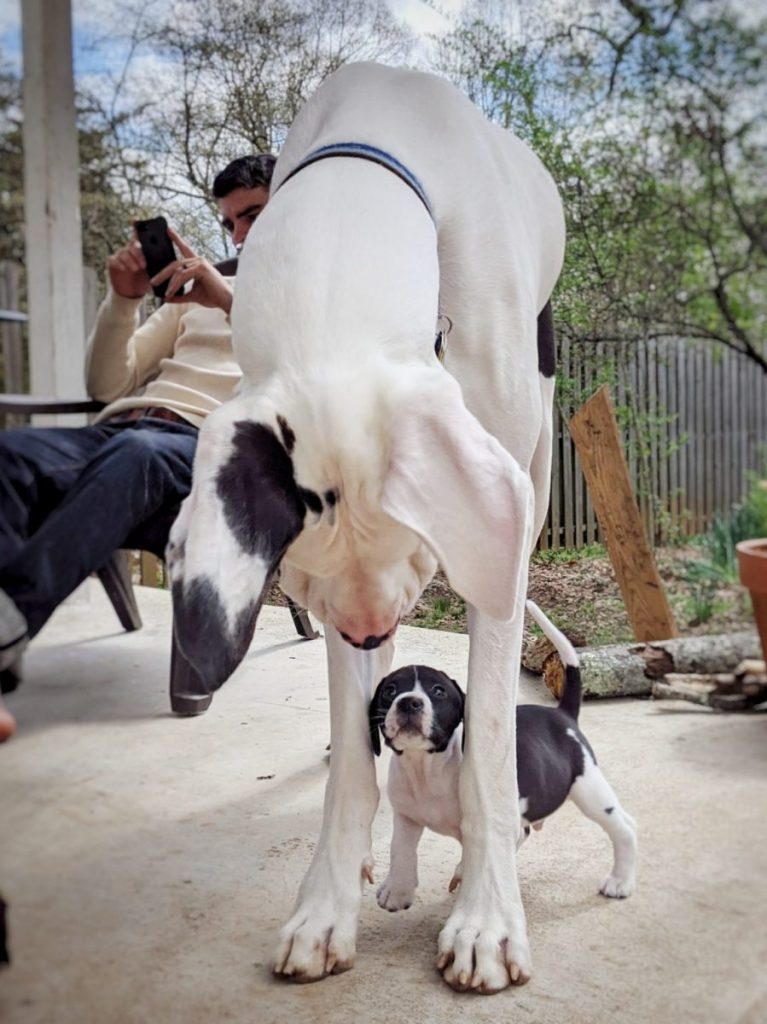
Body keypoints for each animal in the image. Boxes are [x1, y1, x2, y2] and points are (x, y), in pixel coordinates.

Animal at [368, 598, 638, 913]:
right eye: (390, 690)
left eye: (438, 691)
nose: (409, 702)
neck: (426, 766)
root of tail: (562, 714)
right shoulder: (406, 816)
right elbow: (400, 849)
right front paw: (397, 890)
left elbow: (478, 856)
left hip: (588, 788)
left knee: (624, 827)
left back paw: (620, 881)